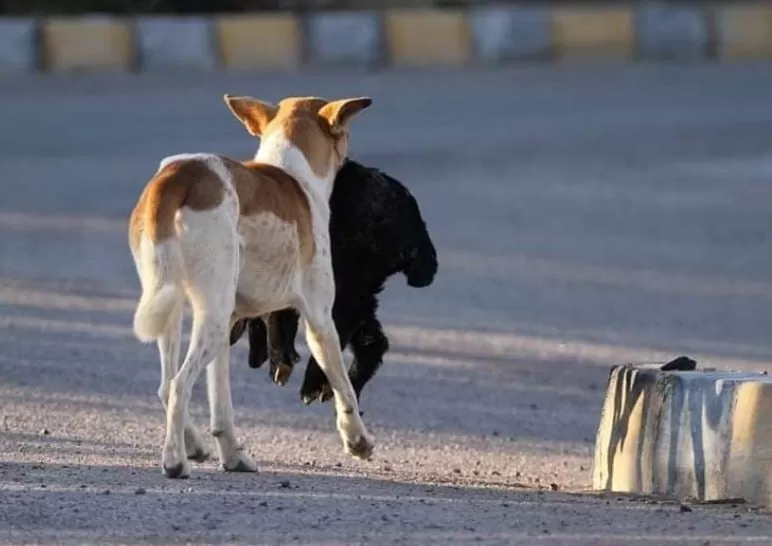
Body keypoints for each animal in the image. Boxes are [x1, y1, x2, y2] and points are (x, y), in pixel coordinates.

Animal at [127, 93, 374, 476]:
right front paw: (356, 439)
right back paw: (174, 460)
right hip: (210, 318)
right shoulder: (320, 322)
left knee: (166, 386)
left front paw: (232, 457)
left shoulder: (232, 324)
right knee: (180, 384)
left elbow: (220, 405)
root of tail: (178, 174)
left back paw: (192, 445)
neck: (293, 174)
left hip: (175, 308)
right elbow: (343, 388)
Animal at [228, 157, 434, 404]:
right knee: (372, 340)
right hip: (362, 287)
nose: (252, 361)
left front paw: (281, 361)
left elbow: (276, 316)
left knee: (345, 323)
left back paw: (314, 384)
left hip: (349, 277)